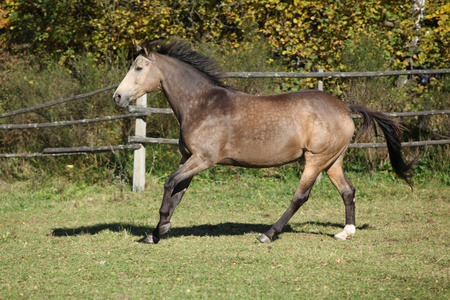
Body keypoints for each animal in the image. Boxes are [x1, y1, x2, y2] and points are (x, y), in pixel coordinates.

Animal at [111, 39, 414, 244]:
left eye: (139, 67)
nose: (118, 97)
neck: (201, 105)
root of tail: (344, 106)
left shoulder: (203, 160)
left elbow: (169, 184)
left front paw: (160, 227)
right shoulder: (189, 159)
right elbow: (177, 193)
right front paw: (157, 232)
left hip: (315, 160)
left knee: (301, 196)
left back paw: (268, 234)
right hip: (333, 161)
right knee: (348, 190)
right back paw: (345, 232)